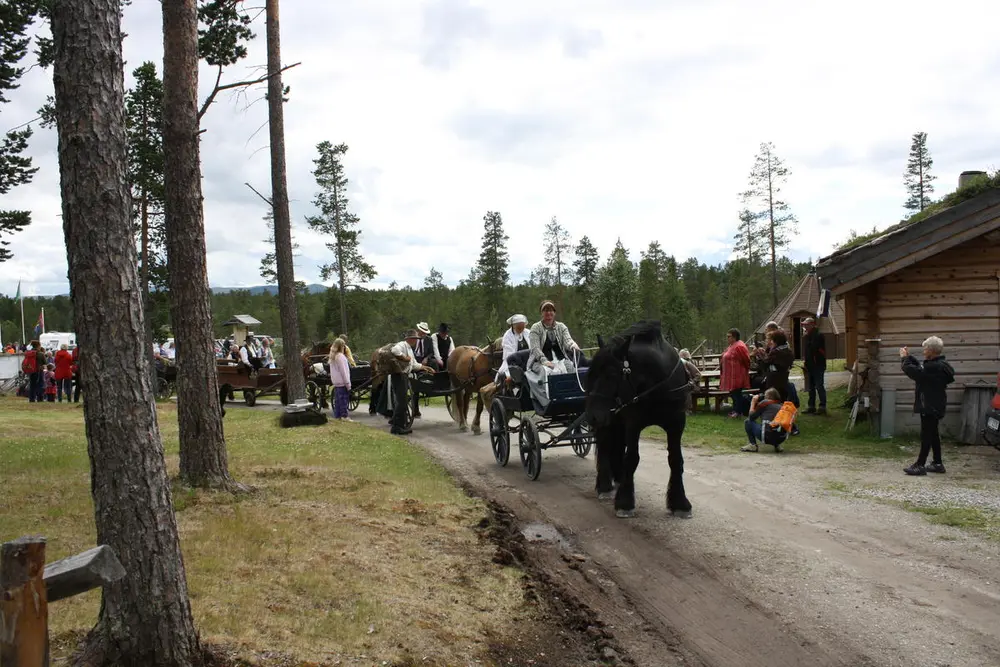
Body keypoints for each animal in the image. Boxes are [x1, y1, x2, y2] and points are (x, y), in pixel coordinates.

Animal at [584, 320, 696, 520]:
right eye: (591, 374)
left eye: (612, 375)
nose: (592, 416)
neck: (658, 386)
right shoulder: (633, 423)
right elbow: (632, 458)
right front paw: (625, 502)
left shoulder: (677, 424)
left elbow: (676, 459)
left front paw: (680, 503)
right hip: (610, 422)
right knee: (605, 446)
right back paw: (605, 485)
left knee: (617, 446)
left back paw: (618, 477)